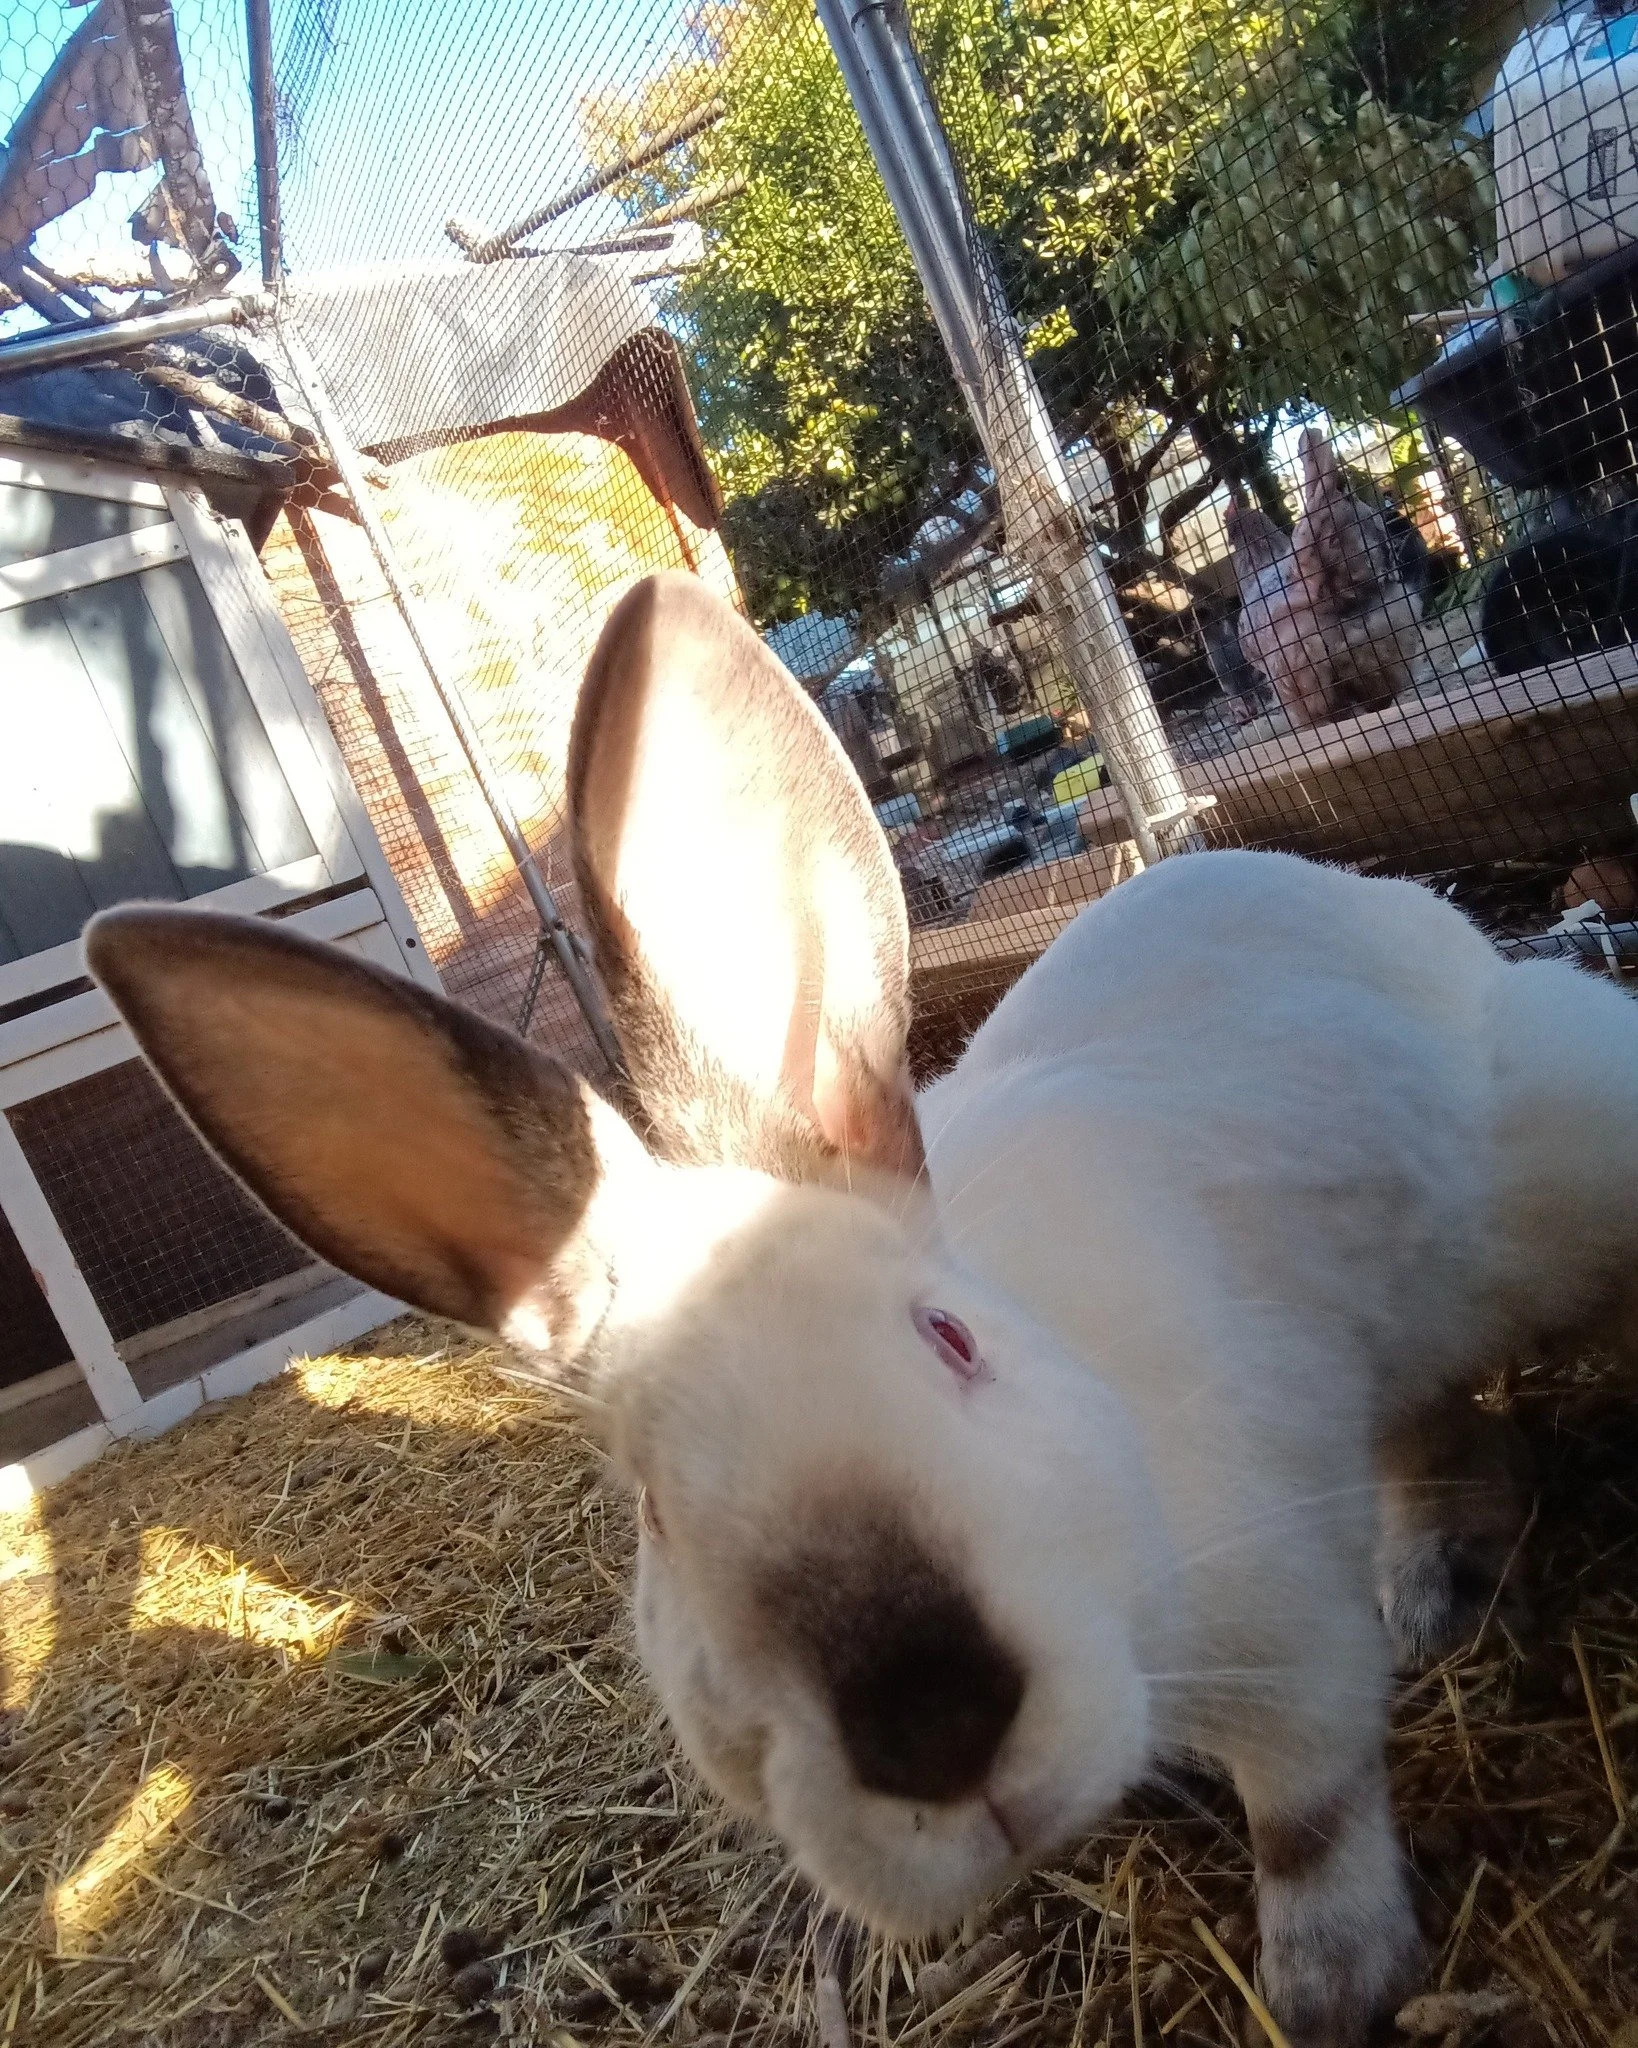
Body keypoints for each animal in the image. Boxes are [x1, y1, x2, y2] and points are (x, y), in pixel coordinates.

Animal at [84, 571, 1638, 2048]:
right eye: (650, 1508)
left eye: (947, 1338)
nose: (931, 1723)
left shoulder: (1284, 1636)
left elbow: (1309, 1814)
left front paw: (1330, 1993)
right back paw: (1435, 1582)